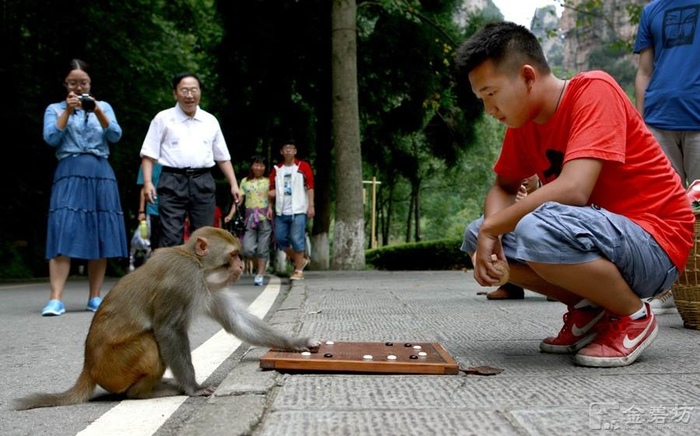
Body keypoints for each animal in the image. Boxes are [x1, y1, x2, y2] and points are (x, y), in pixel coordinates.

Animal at [16, 227, 322, 410]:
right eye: (233, 255)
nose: (239, 266)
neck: (197, 263)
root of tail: (89, 366)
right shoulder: (183, 281)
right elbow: (168, 330)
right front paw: (193, 388)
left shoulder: (208, 288)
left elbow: (237, 322)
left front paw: (296, 343)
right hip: (114, 367)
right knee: (152, 344)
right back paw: (144, 393)